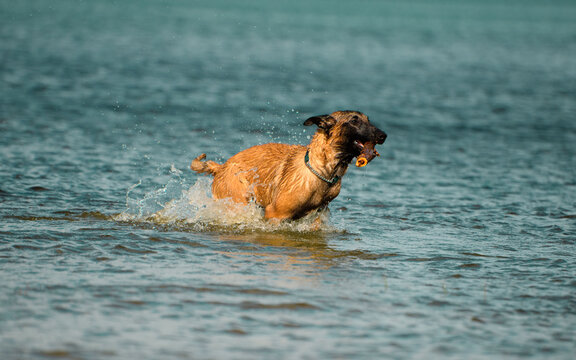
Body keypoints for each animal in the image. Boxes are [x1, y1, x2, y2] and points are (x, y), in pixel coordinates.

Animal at [190, 109, 388, 222]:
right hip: (238, 202)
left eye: (368, 120)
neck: (323, 171)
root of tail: (221, 167)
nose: (383, 136)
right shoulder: (276, 214)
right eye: (354, 121)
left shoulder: (316, 216)